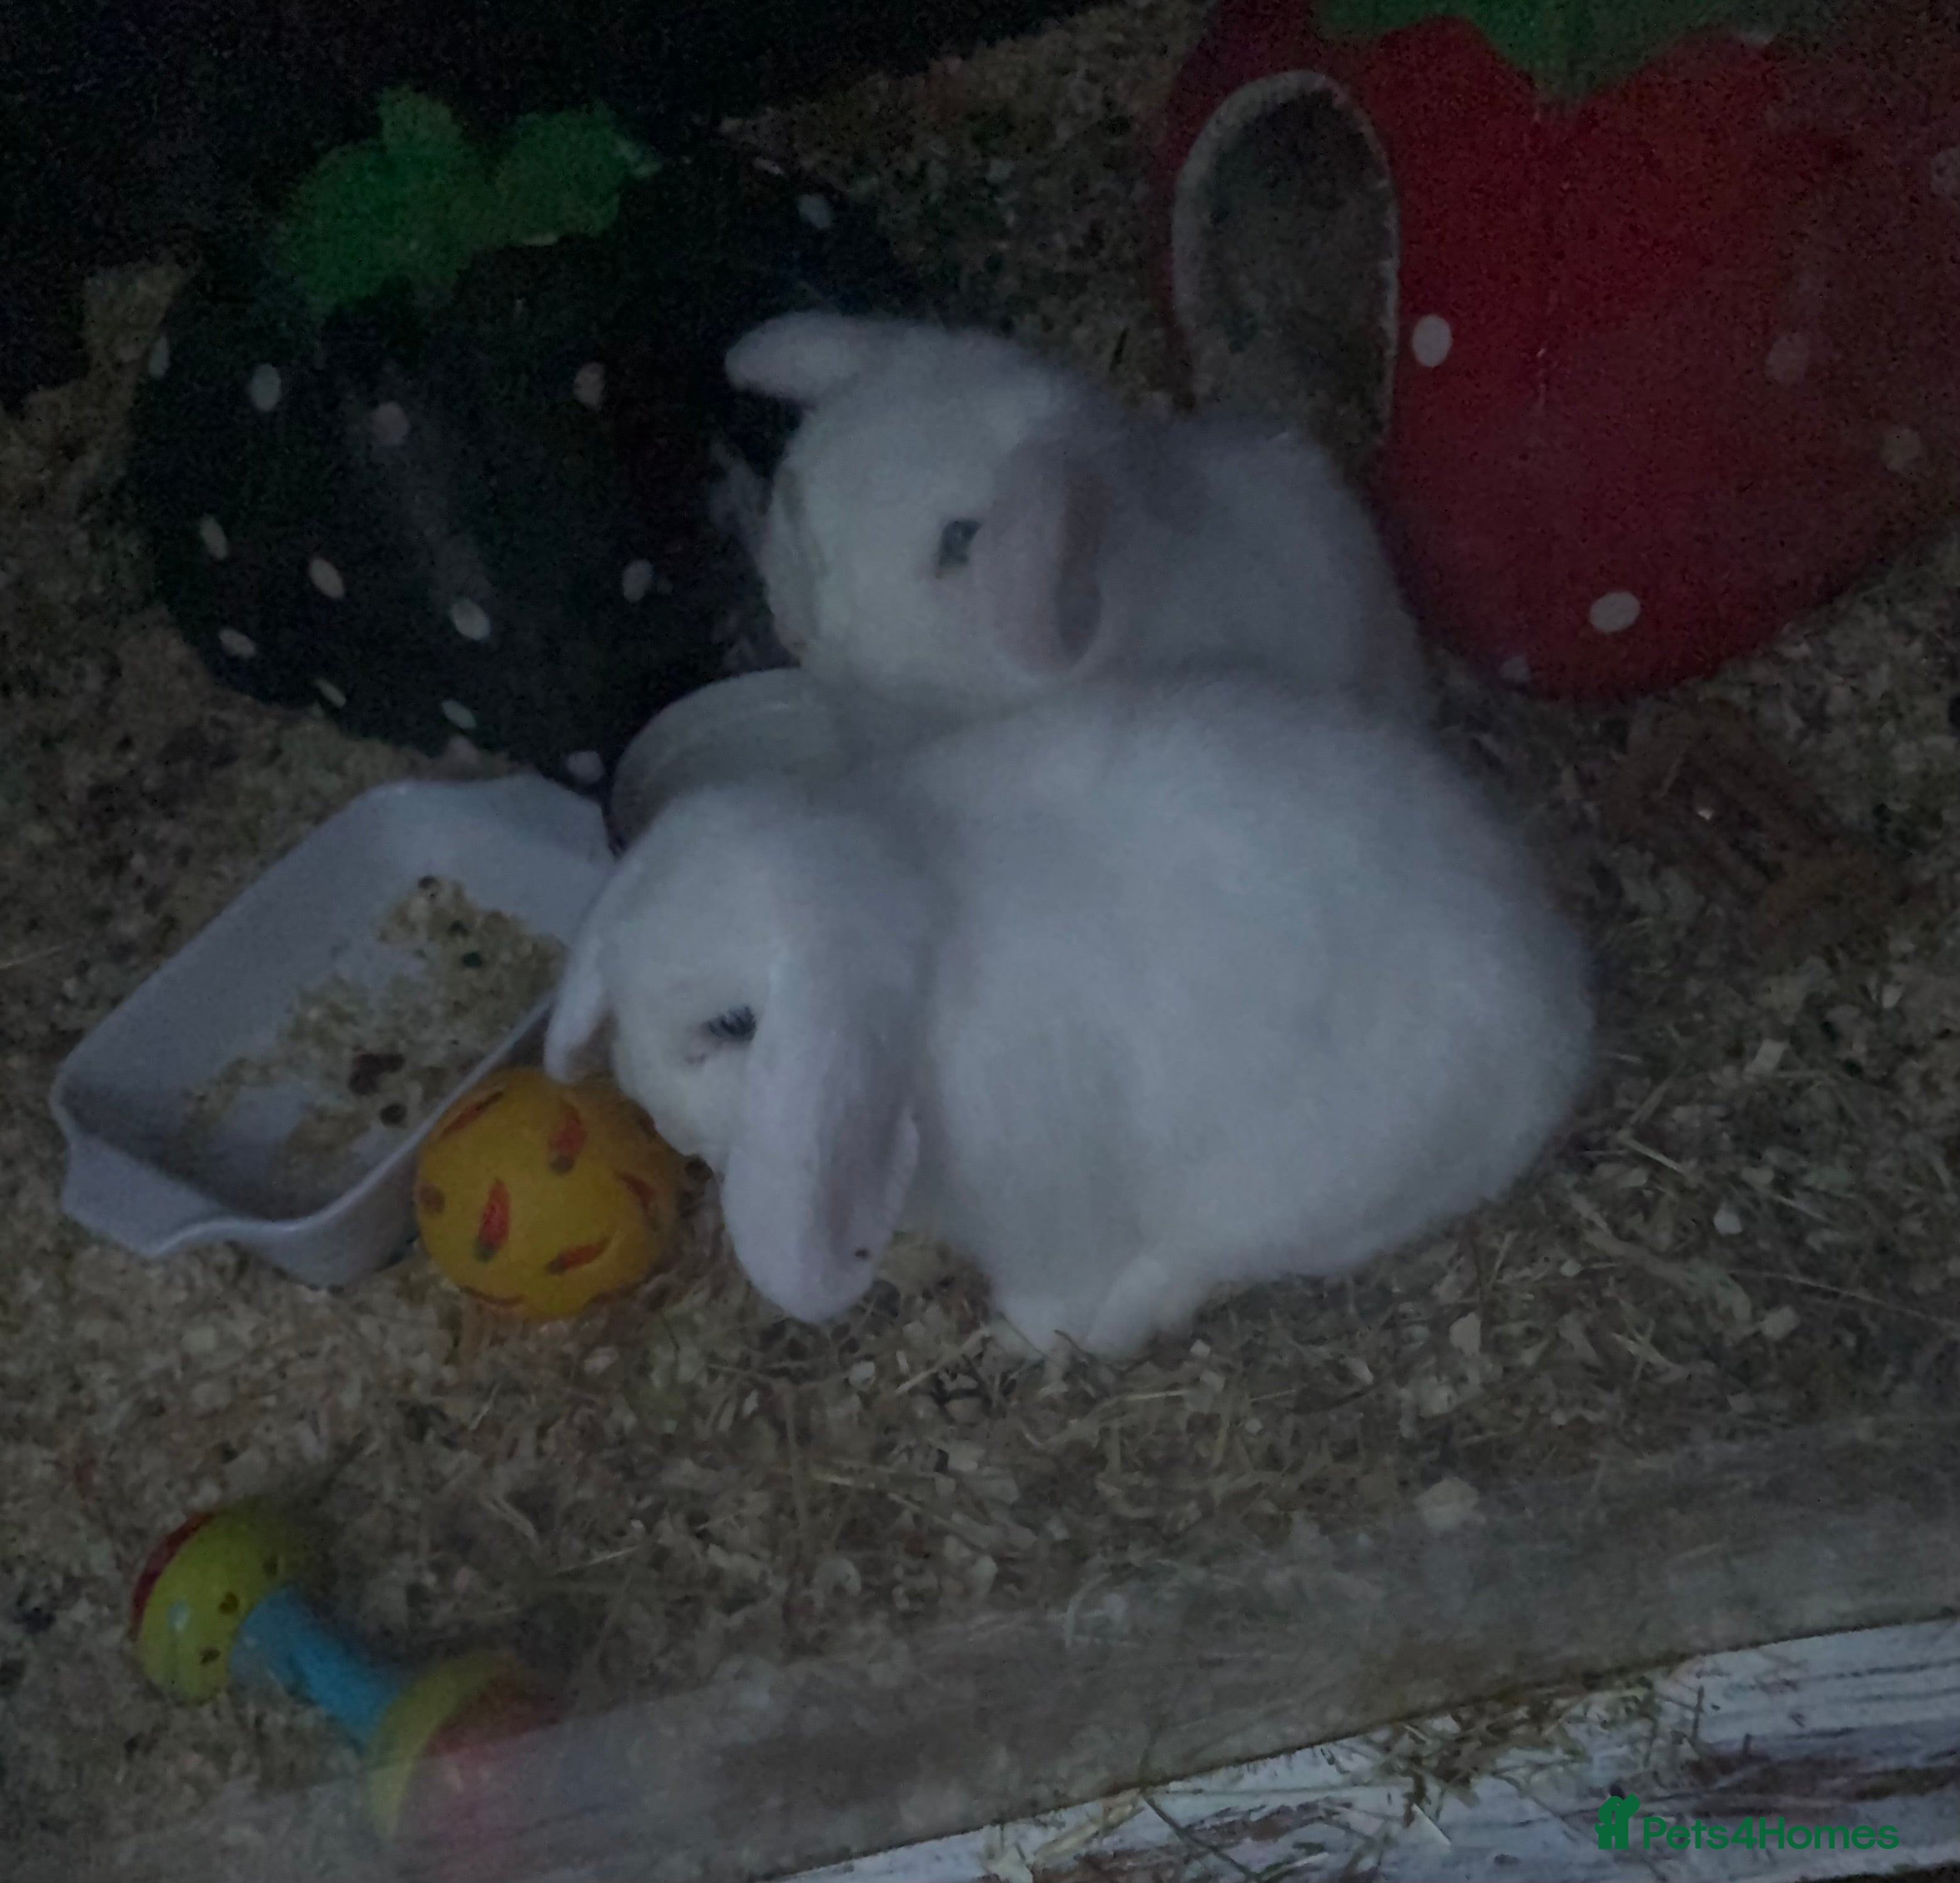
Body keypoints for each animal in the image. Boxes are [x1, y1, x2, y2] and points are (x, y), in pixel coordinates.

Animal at [543, 673, 1591, 1358]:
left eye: (731, 1028)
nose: (666, 1126)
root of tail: (1559, 1017)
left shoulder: (1045, 1209)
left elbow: (1054, 1281)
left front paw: (1023, 1338)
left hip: (1306, 1174)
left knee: (1206, 1255)